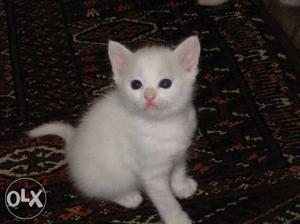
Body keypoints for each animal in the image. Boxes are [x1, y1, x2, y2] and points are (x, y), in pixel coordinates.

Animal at [28, 36, 202, 223]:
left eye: (165, 83)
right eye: (136, 84)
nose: (148, 96)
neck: (163, 124)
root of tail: (72, 144)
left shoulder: (180, 150)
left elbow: (178, 169)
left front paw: (181, 186)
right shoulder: (151, 173)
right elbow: (166, 200)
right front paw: (177, 218)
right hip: (111, 176)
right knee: (100, 190)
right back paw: (128, 197)